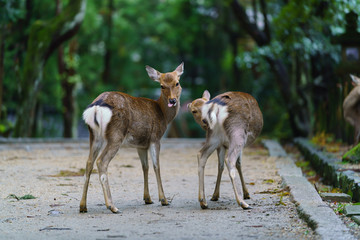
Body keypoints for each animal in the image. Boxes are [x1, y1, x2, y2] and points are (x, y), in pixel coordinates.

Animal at [80, 62, 184, 214]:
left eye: (177, 83)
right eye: (161, 85)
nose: (172, 100)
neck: (163, 115)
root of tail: (96, 107)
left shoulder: (141, 145)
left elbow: (145, 167)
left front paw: (148, 198)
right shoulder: (155, 138)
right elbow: (156, 166)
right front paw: (164, 200)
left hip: (94, 136)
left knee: (88, 163)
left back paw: (83, 206)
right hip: (115, 135)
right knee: (101, 162)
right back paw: (112, 206)